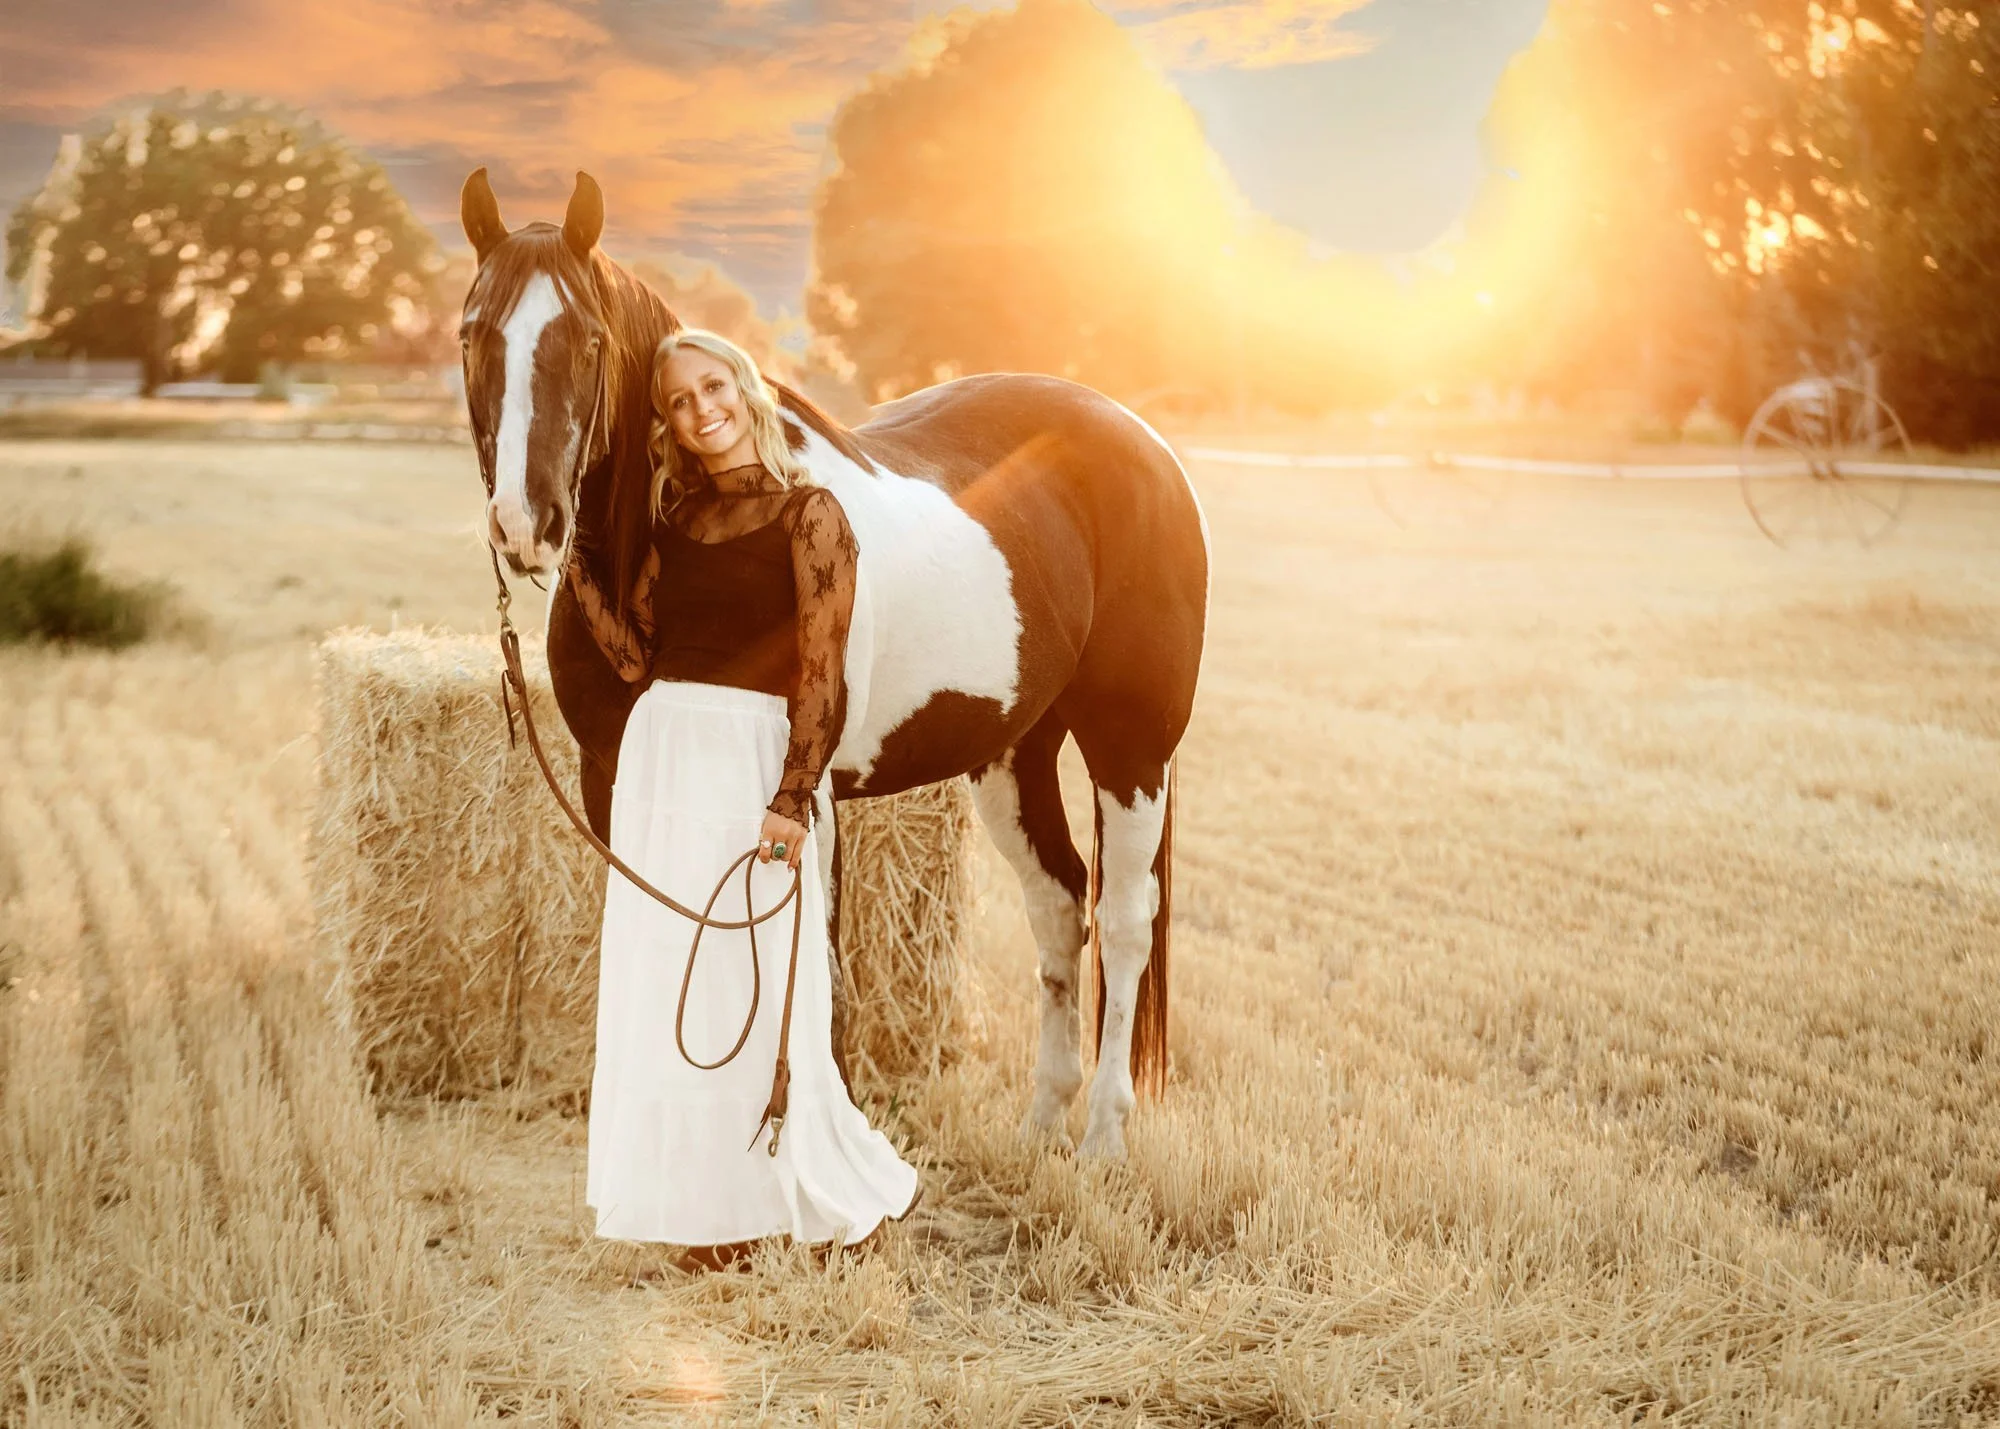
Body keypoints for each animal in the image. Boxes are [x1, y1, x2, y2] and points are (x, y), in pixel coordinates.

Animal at [457, 168, 1207, 1159]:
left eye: (588, 339)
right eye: (472, 333)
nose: (526, 524)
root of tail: (1145, 444)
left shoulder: (800, 793)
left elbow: (811, 964)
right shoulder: (607, 773)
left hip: (1131, 748)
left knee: (1124, 920)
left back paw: (1103, 1138)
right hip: (1014, 751)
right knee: (1059, 903)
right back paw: (1040, 1122)